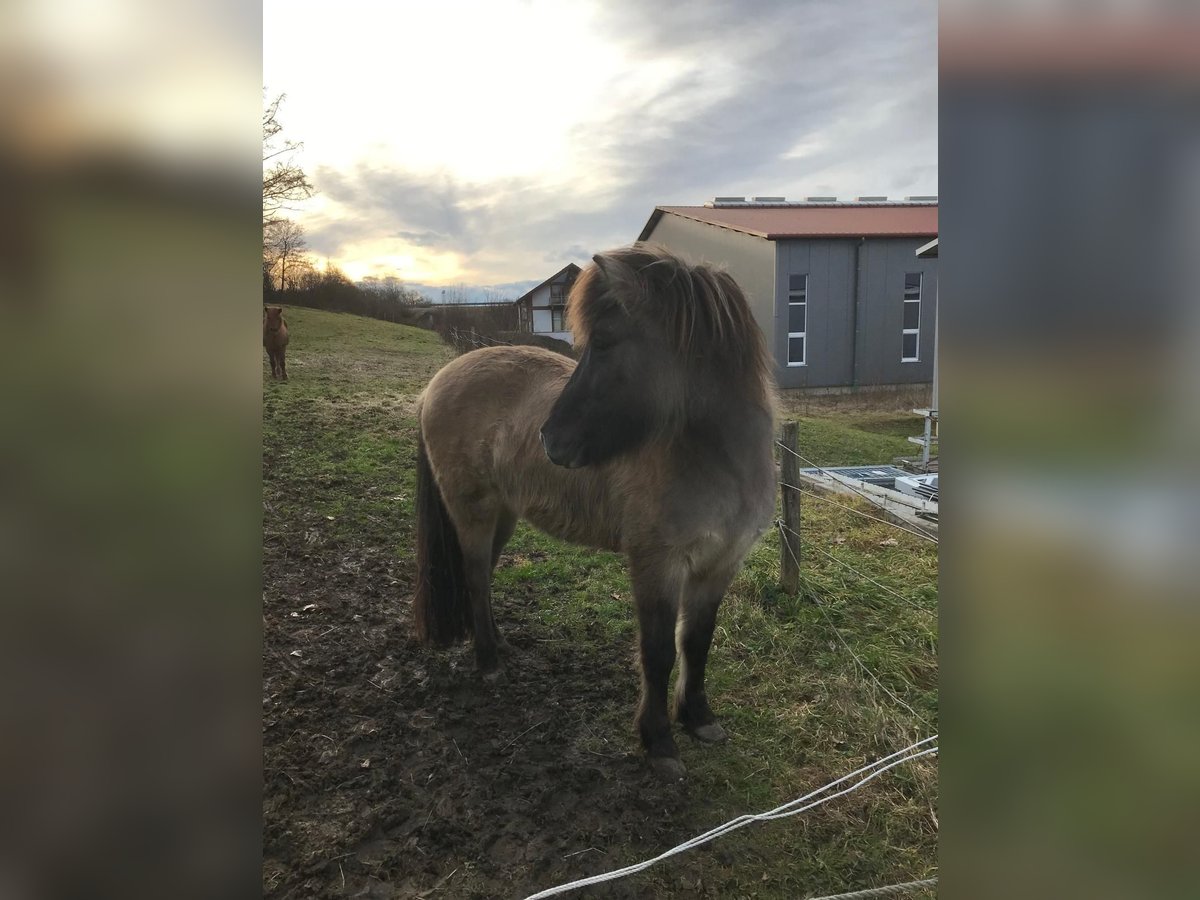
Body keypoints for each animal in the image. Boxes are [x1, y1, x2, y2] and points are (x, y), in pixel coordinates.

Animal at [417, 247, 782, 782]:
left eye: (606, 341)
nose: (550, 440)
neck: (717, 461)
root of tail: (436, 385)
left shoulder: (718, 566)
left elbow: (696, 642)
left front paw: (699, 719)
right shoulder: (656, 564)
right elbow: (658, 652)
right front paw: (659, 741)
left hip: (504, 514)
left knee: (480, 579)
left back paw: (498, 645)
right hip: (474, 512)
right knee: (476, 577)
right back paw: (489, 662)